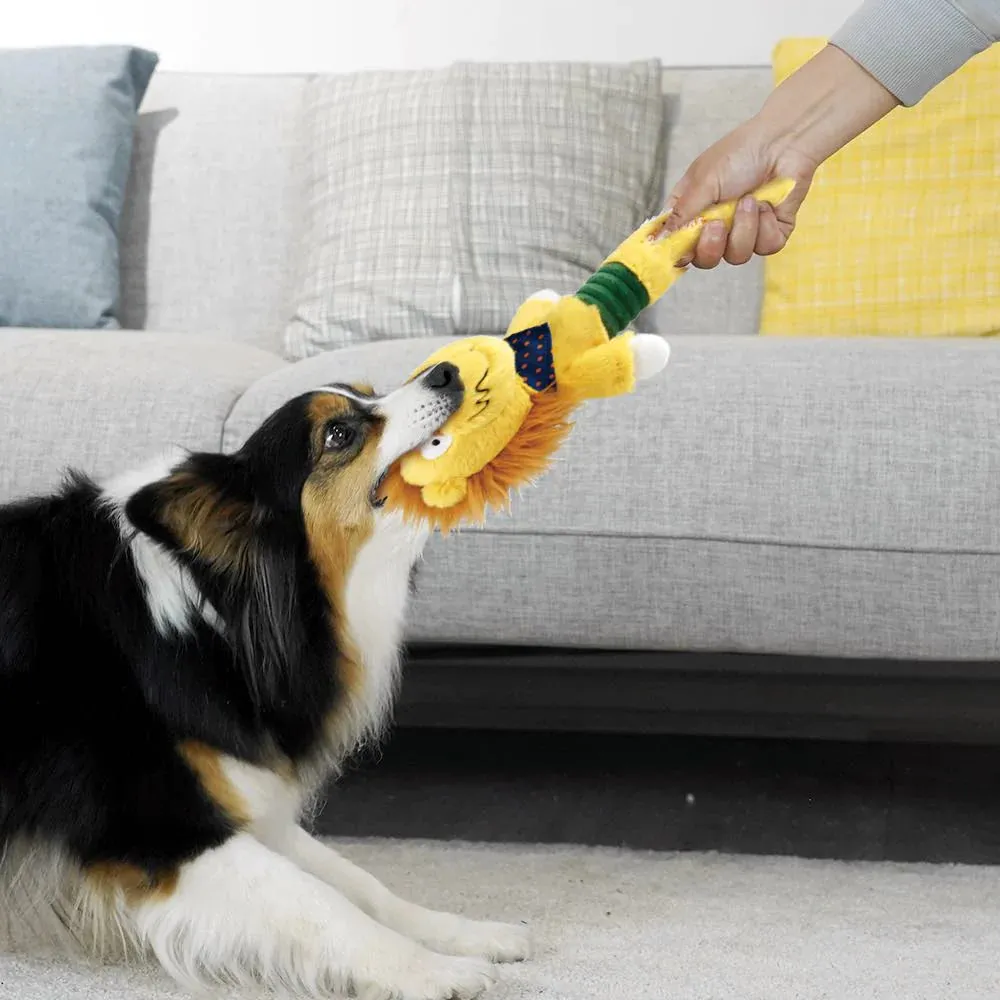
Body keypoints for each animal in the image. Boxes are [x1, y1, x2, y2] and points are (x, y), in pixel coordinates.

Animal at [0, 362, 532, 1000]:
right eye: (338, 434)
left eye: (369, 393)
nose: (446, 371)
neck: (216, 615)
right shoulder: (159, 828)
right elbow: (317, 903)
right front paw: (433, 971)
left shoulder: (245, 794)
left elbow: (358, 882)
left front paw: (464, 933)